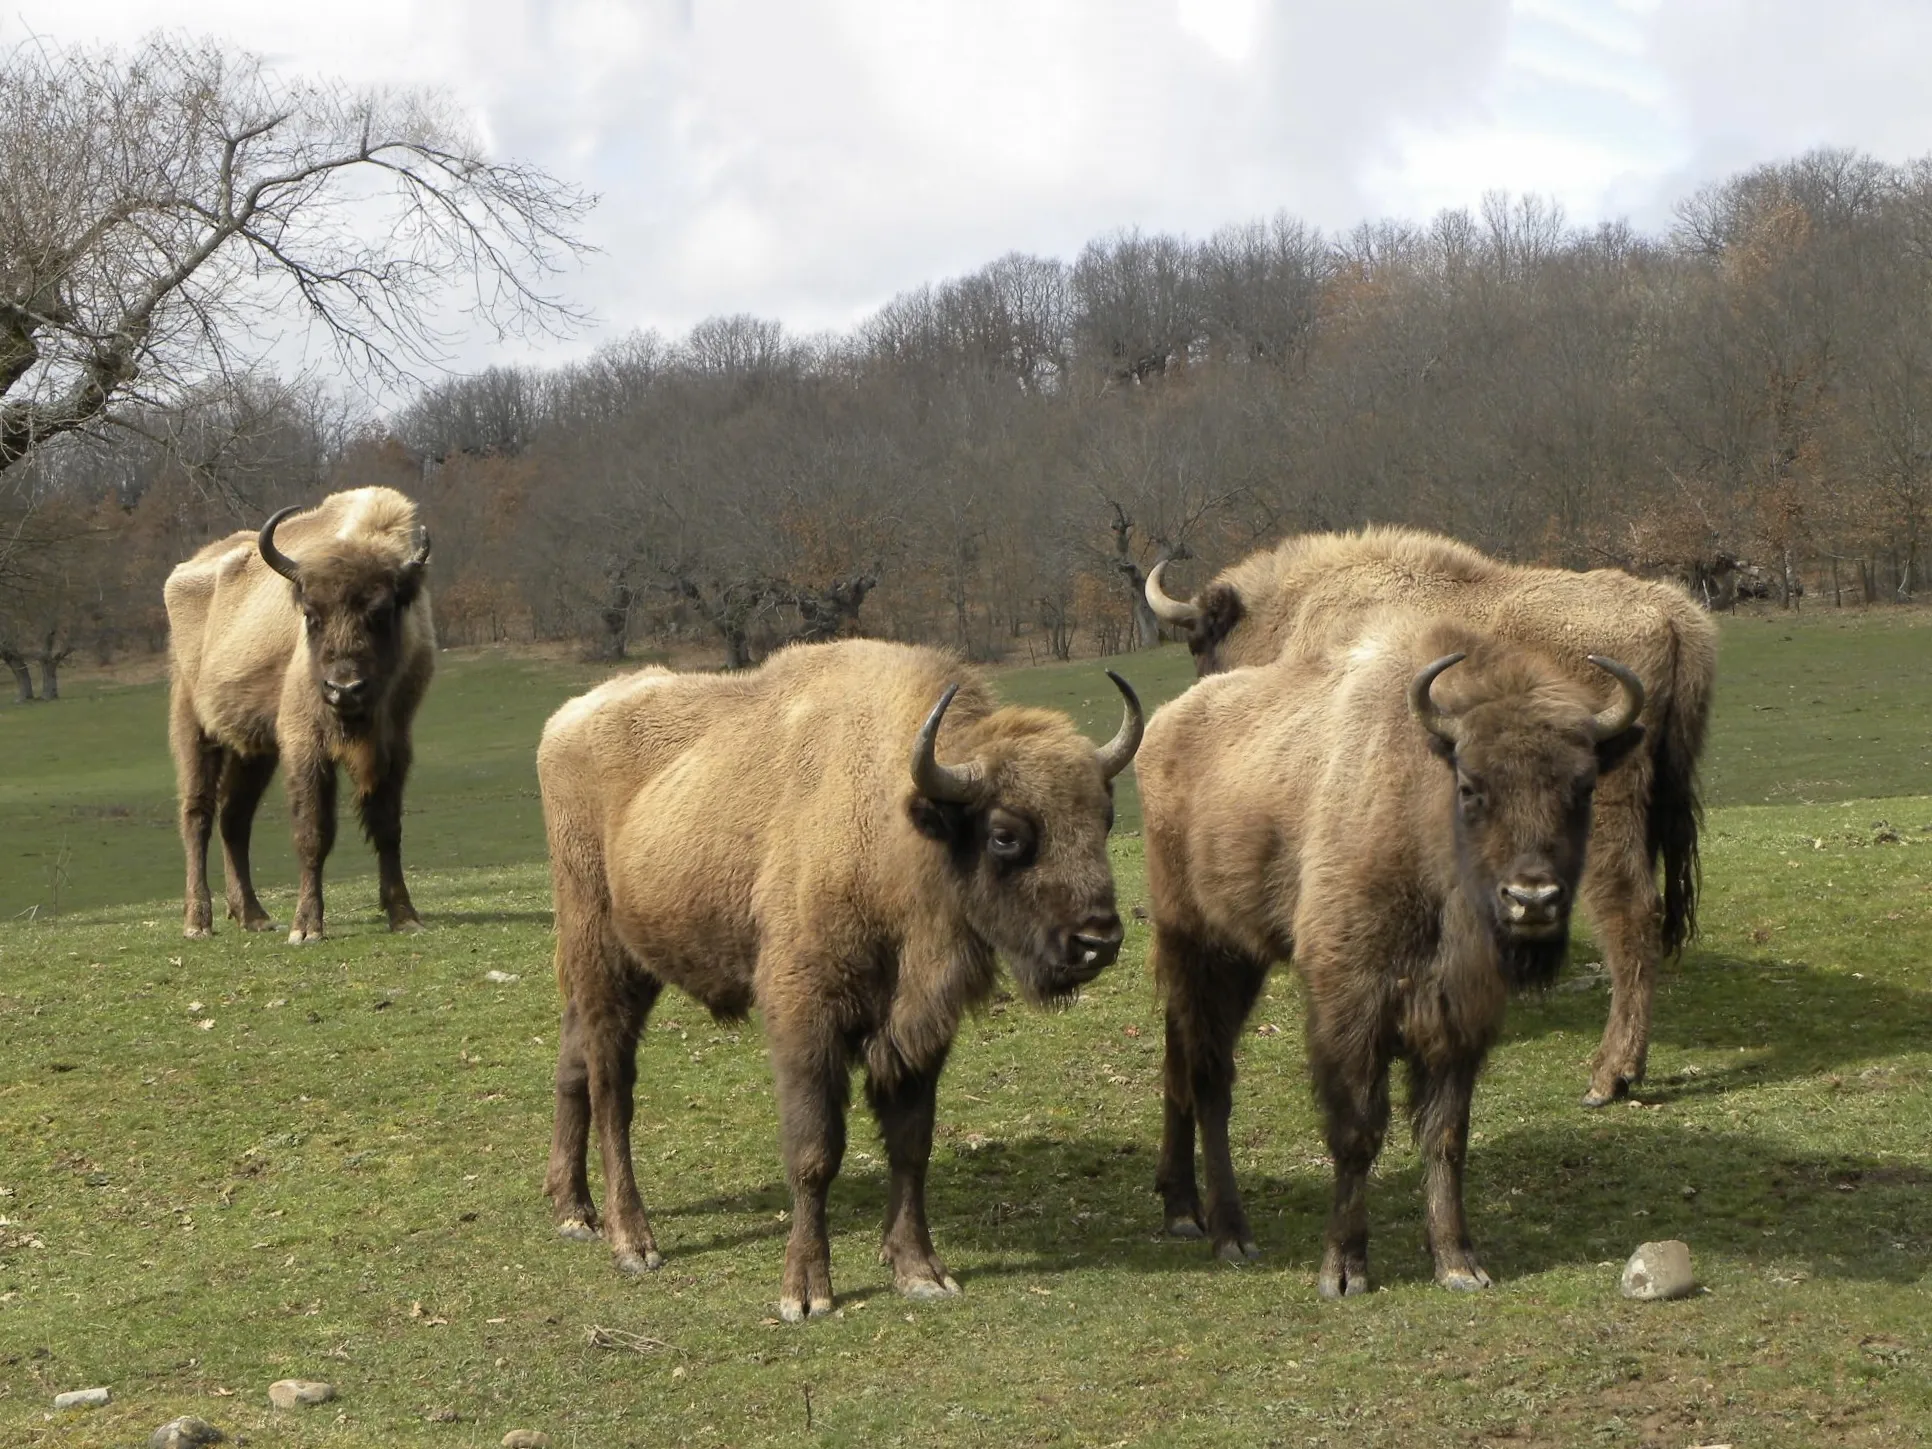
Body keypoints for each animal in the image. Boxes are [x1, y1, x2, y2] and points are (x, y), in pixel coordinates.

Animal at [161, 488, 434, 942]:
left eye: (380, 613)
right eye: (310, 614)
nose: (344, 689)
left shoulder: (395, 746)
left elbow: (387, 828)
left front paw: (404, 915)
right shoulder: (306, 746)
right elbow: (313, 833)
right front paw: (306, 928)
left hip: (253, 750)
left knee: (234, 819)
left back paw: (253, 915)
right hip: (195, 730)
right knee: (197, 815)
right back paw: (198, 922)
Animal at [537, 641, 1136, 1321]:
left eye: (1105, 818)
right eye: (1005, 834)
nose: (1097, 940)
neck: (894, 822)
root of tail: (566, 721)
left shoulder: (916, 1030)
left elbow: (911, 1144)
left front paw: (921, 1271)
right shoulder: (806, 1020)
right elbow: (815, 1152)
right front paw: (805, 1292)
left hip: (615, 968)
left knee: (574, 1066)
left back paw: (574, 1212)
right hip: (602, 952)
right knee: (612, 1089)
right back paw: (633, 1242)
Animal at [1136, 529, 1715, 1105]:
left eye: (1199, 641)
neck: (1297, 612)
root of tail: (1670, 613)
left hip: (1604, 820)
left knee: (1631, 913)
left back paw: (1610, 1075)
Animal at [1136, 618, 1653, 1298]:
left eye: (1583, 785)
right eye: (1471, 786)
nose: (1532, 898)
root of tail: (1163, 727)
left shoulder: (1460, 1016)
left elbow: (1445, 1136)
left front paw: (1458, 1262)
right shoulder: (1350, 1004)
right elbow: (1357, 1130)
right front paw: (1343, 1269)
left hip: (1236, 962)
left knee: (1186, 1062)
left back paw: (1182, 1209)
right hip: (1201, 947)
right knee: (1210, 1081)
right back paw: (1231, 1234)